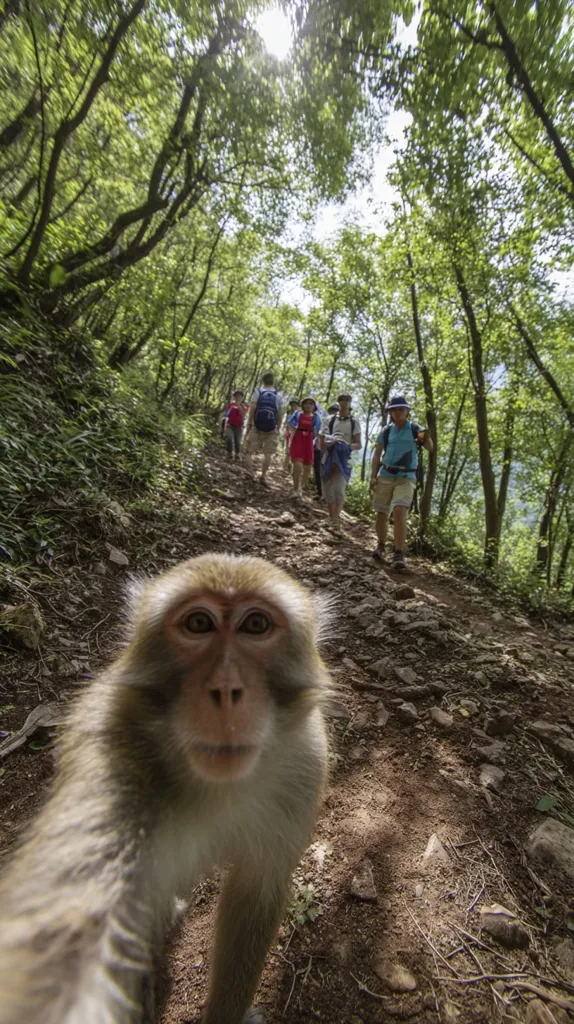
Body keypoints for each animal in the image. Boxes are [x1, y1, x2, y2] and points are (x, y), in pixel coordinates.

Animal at [0, 553, 330, 1024]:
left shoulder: (305, 765)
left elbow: (256, 890)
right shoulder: (115, 756)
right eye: (198, 623)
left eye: (255, 625)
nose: (226, 690)